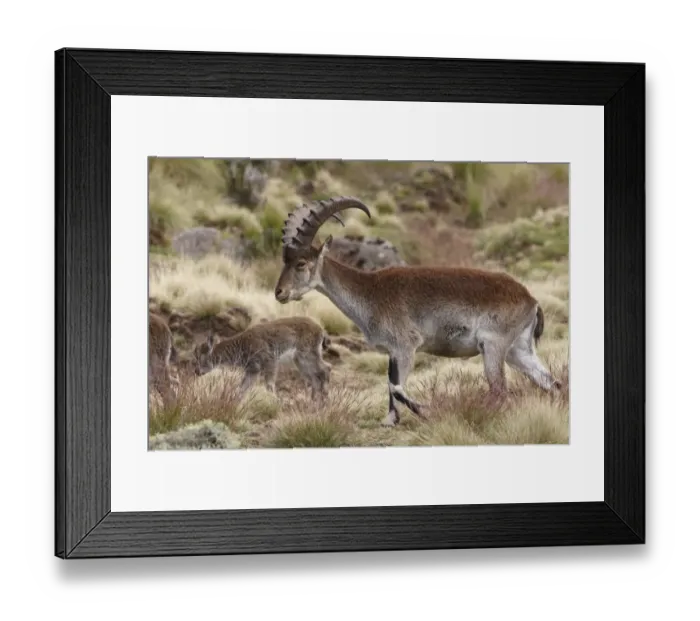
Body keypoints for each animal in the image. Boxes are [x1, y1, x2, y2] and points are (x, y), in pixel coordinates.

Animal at [192, 317, 332, 401]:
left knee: (325, 368)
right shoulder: (253, 370)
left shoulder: (270, 361)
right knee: (315, 376)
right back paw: (314, 401)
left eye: (201, 357)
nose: (197, 371)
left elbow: (269, 385)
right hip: (300, 361)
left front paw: (275, 402)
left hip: (306, 354)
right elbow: (242, 387)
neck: (242, 346)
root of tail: (320, 330)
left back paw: (324, 398)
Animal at [274, 196, 562, 427]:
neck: (370, 293)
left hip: (493, 346)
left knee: (500, 389)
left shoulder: (407, 345)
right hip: (518, 351)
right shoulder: (394, 352)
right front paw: (391, 420)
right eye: (285, 260)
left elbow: (396, 386)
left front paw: (426, 411)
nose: (279, 293)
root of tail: (531, 300)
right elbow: (391, 385)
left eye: (301, 263)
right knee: (552, 384)